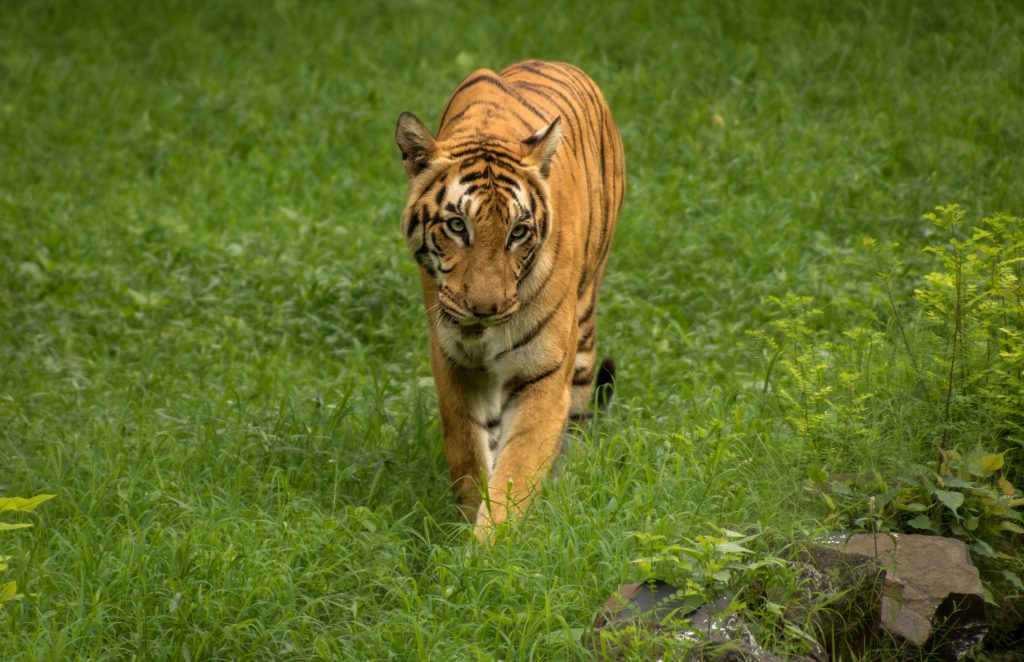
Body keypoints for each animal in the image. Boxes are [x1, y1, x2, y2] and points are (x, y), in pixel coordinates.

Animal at [395, 59, 622, 541]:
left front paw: (489, 548)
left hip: (584, 327)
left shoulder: (543, 372)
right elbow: (468, 457)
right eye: (457, 225)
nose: (486, 309)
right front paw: (464, 530)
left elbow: (517, 471)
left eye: (518, 232)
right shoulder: (453, 363)